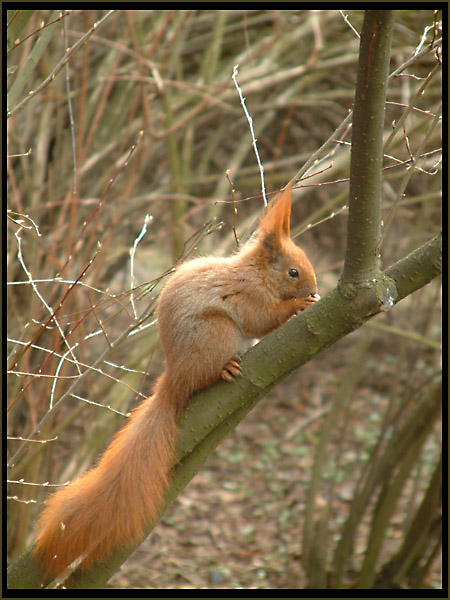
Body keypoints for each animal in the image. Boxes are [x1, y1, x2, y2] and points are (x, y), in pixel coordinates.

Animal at [33, 182, 318, 576]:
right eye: (293, 272)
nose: (314, 286)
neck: (256, 273)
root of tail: (175, 380)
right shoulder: (246, 296)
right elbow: (260, 319)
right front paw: (298, 306)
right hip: (216, 333)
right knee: (207, 372)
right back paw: (224, 369)